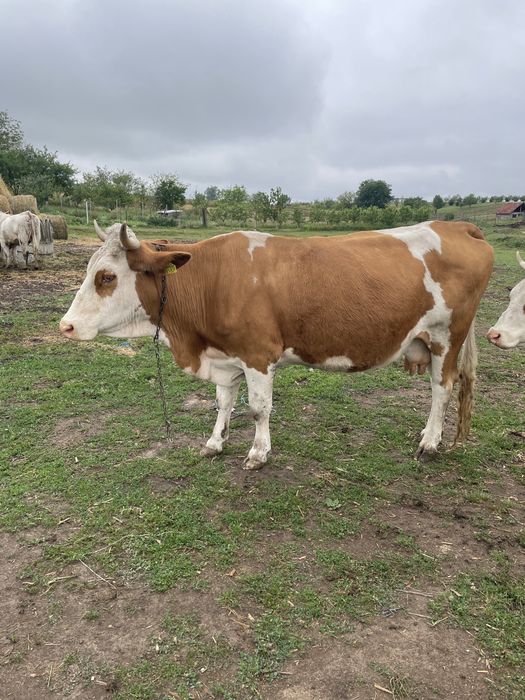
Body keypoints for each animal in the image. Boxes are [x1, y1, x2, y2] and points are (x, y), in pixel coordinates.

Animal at [60, 220, 493, 469]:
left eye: (106, 277)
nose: (66, 326)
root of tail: (457, 225)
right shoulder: (226, 356)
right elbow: (224, 403)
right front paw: (215, 442)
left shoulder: (258, 354)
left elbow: (258, 408)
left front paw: (258, 452)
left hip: (447, 336)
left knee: (442, 388)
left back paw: (430, 442)